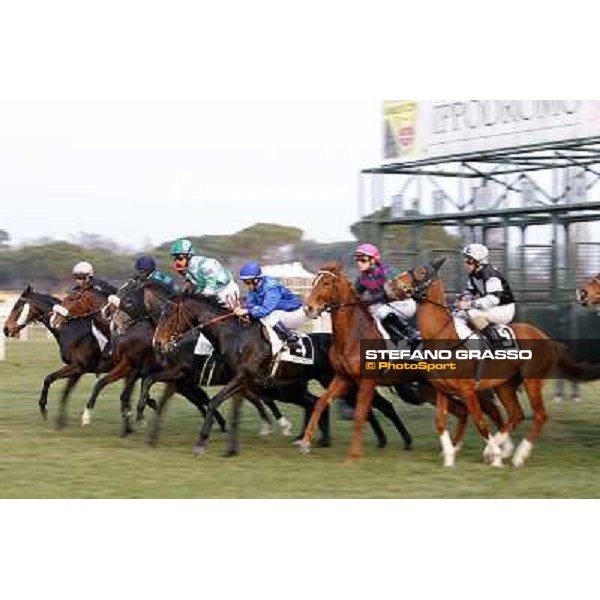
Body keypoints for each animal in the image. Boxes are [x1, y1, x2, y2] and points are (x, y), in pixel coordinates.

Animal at [154, 292, 418, 458]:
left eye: (169, 315)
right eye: (160, 313)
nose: (158, 342)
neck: (234, 335)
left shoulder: (241, 377)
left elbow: (214, 402)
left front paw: (201, 444)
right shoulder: (243, 382)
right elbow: (233, 408)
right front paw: (231, 448)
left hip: (339, 382)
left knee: (379, 405)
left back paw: (401, 439)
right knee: (338, 404)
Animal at [386, 258, 600, 468]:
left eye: (422, 272)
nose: (391, 283)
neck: (443, 338)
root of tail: (547, 338)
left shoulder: (468, 391)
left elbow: (480, 422)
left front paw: (495, 456)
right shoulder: (441, 390)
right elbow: (440, 422)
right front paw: (449, 457)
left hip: (532, 382)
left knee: (539, 415)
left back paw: (517, 455)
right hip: (504, 385)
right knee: (516, 414)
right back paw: (504, 449)